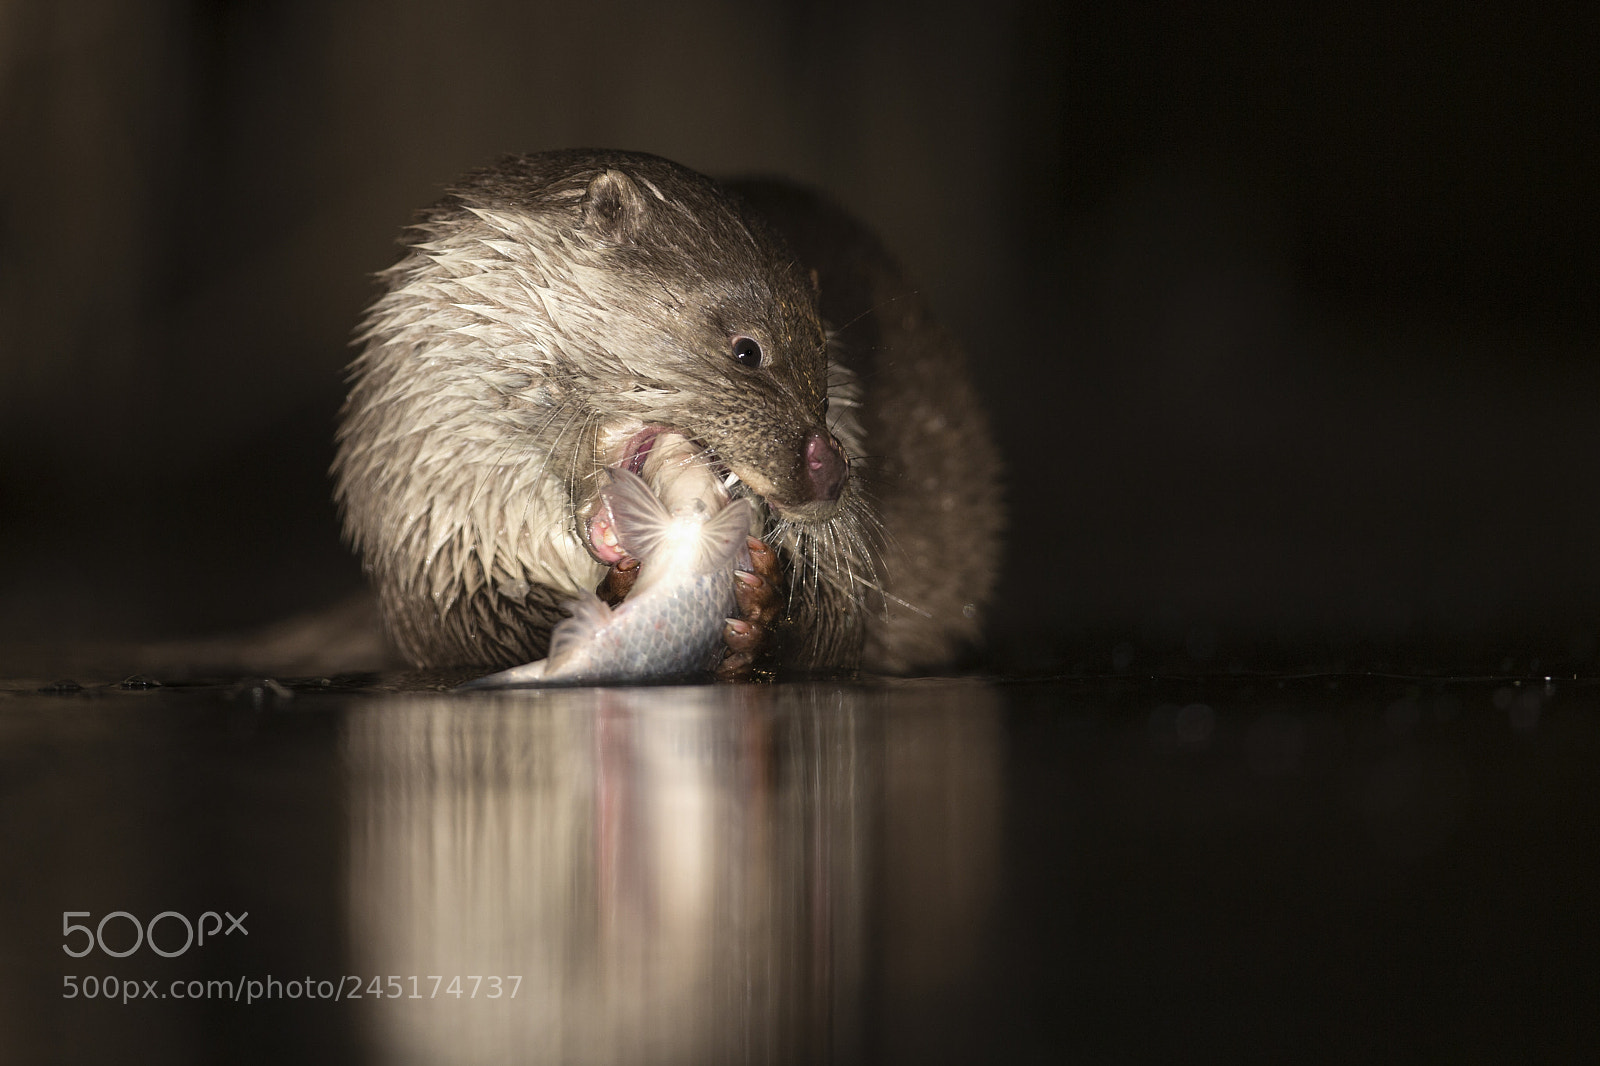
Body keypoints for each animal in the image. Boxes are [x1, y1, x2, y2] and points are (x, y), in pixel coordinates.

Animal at [332, 149, 1000, 676]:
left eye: (826, 361)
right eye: (748, 350)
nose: (830, 470)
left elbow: (838, 627)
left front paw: (765, 606)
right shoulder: (436, 547)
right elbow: (467, 633)